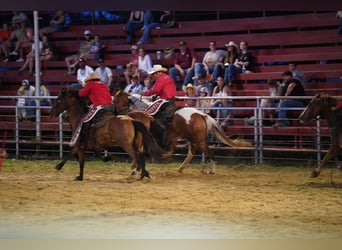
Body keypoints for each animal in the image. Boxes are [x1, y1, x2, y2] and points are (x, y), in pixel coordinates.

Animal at [112, 90, 251, 174]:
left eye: (116, 100)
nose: (117, 112)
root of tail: (202, 115)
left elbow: (139, 150)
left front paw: (134, 167)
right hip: (191, 139)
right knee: (191, 153)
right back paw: (180, 168)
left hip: (198, 140)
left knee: (209, 152)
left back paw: (211, 170)